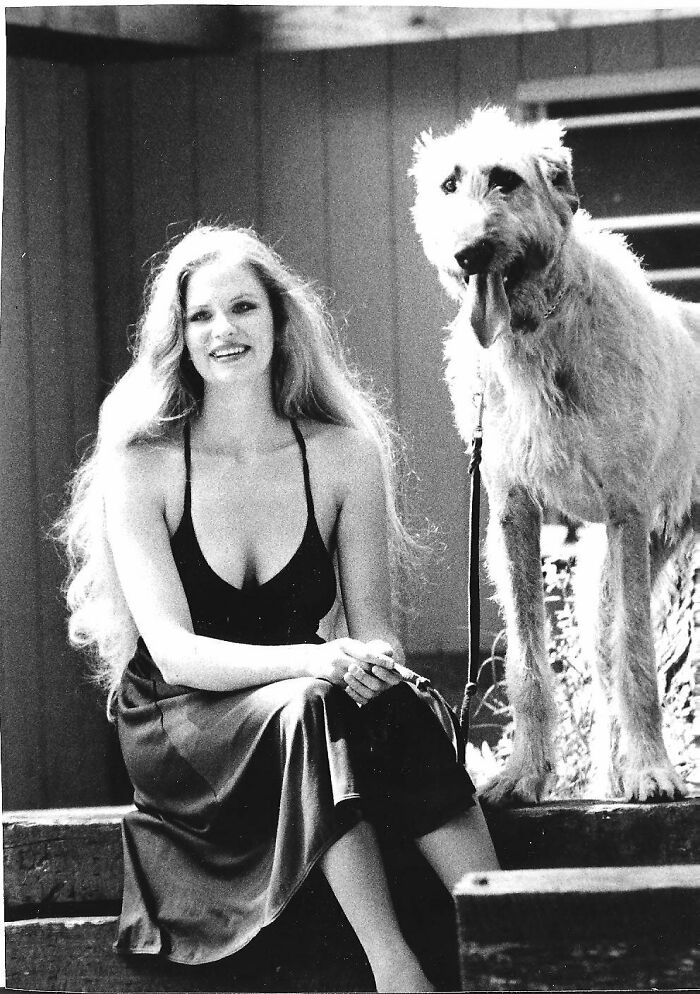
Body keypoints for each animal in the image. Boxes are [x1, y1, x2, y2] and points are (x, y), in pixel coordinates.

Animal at [412, 108, 696, 804]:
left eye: (507, 179)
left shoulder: (625, 510)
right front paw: (524, 774)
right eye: (448, 184)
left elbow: (637, 653)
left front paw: (654, 771)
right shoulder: (513, 512)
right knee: (601, 660)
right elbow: (527, 658)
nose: (469, 254)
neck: (537, 333)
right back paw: (607, 776)